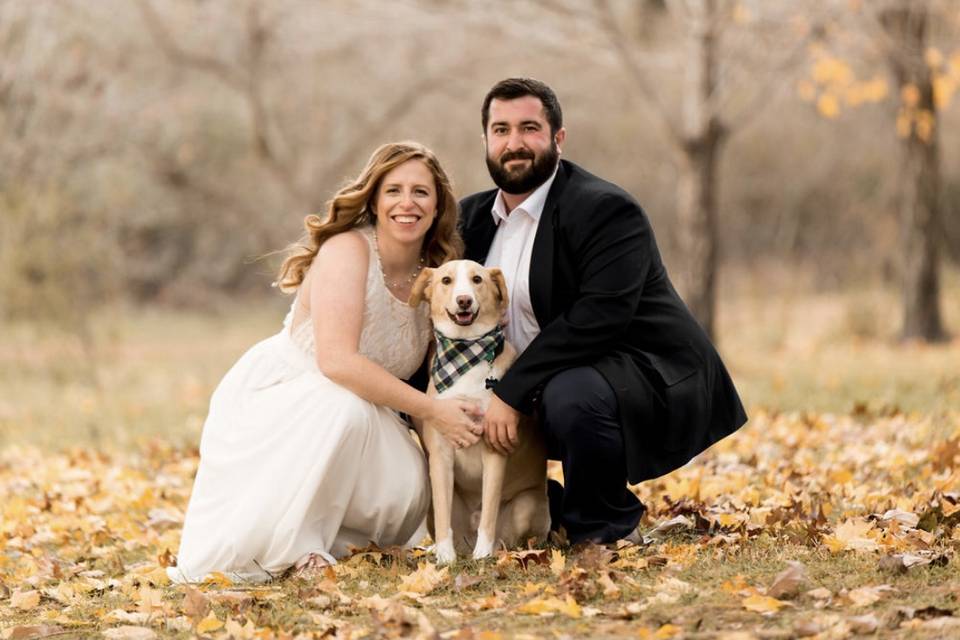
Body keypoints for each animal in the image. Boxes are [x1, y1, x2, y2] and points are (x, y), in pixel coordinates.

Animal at [408, 258, 552, 560]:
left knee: (507, 535)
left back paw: (497, 551)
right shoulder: (440, 456)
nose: (464, 300)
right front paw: (444, 558)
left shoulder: (495, 451)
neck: (464, 353)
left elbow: (489, 510)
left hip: (526, 504)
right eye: (446, 280)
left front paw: (482, 556)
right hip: (432, 504)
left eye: (477, 279)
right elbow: (443, 516)